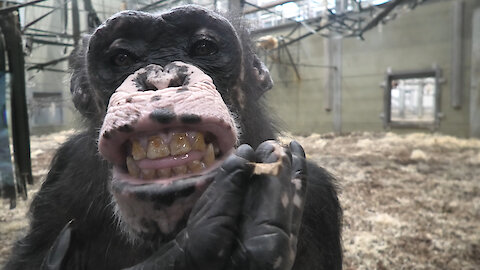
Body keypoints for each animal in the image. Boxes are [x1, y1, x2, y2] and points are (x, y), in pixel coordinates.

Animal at [3, 5, 342, 270]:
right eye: (122, 57)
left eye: (203, 48)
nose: (161, 78)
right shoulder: (65, 172)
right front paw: (195, 245)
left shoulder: (318, 197)